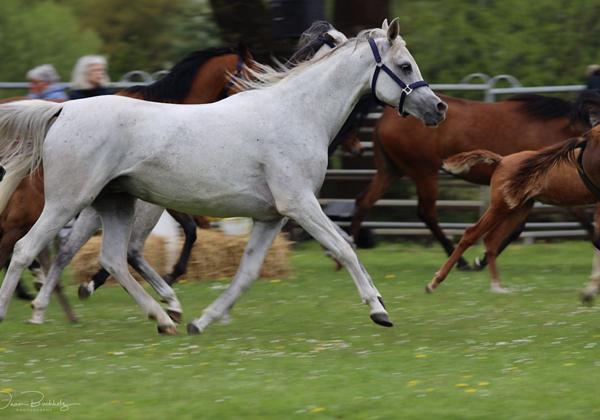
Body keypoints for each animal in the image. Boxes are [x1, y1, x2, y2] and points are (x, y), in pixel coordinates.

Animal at [0, 18, 446, 334]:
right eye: (404, 65)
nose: (438, 108)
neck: (297, 114)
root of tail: (63, 110)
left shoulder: (272, 216)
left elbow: (246, 274)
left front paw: (203, 321)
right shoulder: (300, 204)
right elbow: (345, 249)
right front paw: (379, 310)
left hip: (115, 203)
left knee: (112, 258)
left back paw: (164, 319)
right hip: (68, 202)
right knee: (26, 249)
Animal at [352, 94, 592, 270]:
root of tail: (387, 114)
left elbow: (515, 229)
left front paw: (482, 259)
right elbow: (585, 221)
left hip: (390, 170)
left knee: (363, 201)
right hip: (425, 172)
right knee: (427, 213)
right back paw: (460, 261)